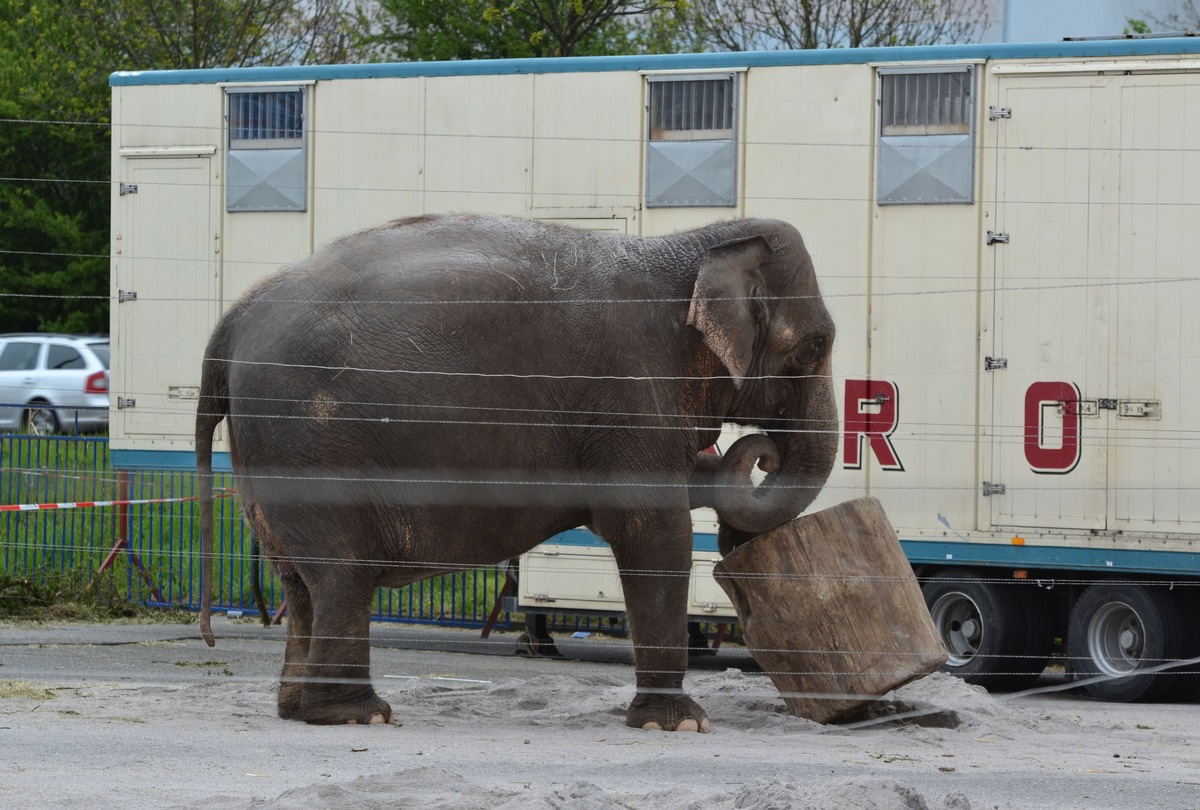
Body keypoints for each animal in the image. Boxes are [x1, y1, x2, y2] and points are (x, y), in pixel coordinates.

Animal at [194, 212, 835, 729]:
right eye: (815, 346)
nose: (763, 452)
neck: (692, 245)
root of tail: (232, 320)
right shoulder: (629, 390)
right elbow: (651, 529)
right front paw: (677, 724)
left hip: (270, 453)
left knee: (299, 583)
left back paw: (298, 710)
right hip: (311, 440)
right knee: (339, 578)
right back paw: (359, 715)